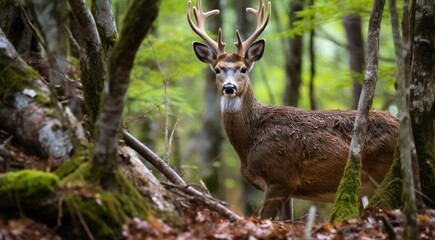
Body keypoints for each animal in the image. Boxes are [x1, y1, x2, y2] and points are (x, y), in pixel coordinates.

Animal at [186, 0, 398, 218]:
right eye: (217, 69)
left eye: (243, 69)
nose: (229, 88)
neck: (250, 140)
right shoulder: (287, 189)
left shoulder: (281, 177)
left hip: (382, 174)